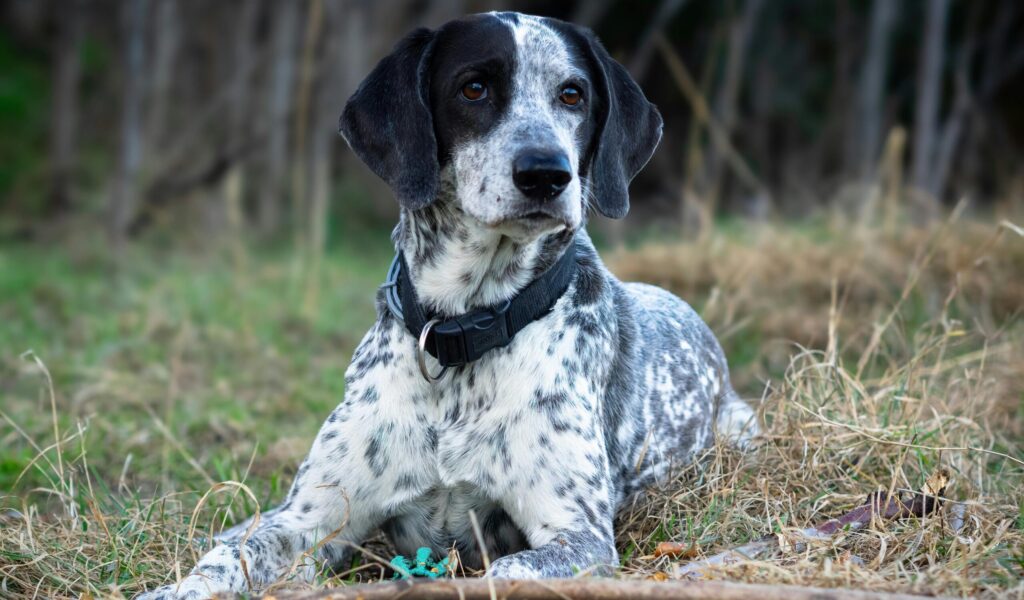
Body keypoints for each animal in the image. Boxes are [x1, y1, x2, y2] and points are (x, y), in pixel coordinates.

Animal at [140, 10, 757, 597]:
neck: (462, 329)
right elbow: (235, 556)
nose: (546, 174)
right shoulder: (310, 520)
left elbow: (508, 569)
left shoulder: (577, 533)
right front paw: (175, 588)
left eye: (572, 94)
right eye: (474, 88)